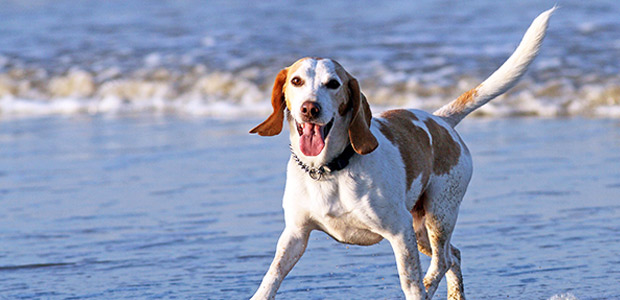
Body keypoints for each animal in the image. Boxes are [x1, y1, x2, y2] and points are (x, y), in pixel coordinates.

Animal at [249, 7, 556, 300]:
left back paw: (430, 287)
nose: (310, 108)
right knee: (454, 256)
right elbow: (271, 277)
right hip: (420, 229)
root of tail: (441, 120)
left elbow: (410, 283)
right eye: (296, 81)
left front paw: (419, 288)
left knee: (442, 262)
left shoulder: (399, 232)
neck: (329, 169)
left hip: (438, 215)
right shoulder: (294, 235)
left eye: (333, 84)